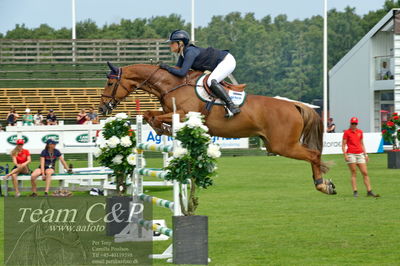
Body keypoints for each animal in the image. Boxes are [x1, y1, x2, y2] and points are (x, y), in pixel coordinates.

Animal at [98, 62, 336, 195]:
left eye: (109, 83)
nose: (102, 108)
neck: (171, 84)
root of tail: (294, 105)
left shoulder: (184, 114)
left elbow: (155, 117)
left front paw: (162, 128)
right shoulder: (170, 112)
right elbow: (149, 114)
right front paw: (161, 128)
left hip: (283, 145)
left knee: (314, 155)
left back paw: (322, 185)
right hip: (275, 145)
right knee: (313, 155)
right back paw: (325, 184)